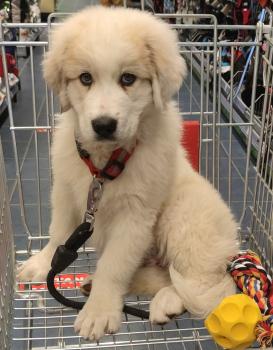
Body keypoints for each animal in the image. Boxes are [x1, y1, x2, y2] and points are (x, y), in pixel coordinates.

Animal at [17, 6, 238, 342]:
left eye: (128, 79)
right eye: (85, 78)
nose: (104, 125)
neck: (106, 163)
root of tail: (232, 246)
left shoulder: (135, 215)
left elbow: (114, 266)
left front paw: (98, 312)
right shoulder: (66, 190)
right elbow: (58, 233)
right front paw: (42, 263)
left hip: (183, 216)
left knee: (205, 285)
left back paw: (166, 303)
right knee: (165, 275)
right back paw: (96, 284)